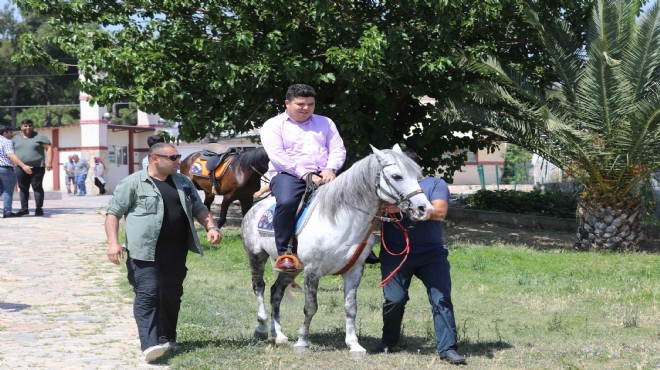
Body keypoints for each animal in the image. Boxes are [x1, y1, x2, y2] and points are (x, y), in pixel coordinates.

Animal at [241, 144, 434, 356]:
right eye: (397, 176)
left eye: (417, 176)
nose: (425, 208)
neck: (340, 220)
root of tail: (257, 205)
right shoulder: (312, 271)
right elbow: (310, 307)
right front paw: (302, 342)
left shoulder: (354, 270)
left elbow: (350, 308)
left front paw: (354, 345)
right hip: (256, 255)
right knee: (259, 287)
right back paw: (261, 328)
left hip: (291, 268)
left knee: (276, 292)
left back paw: (279, 334)